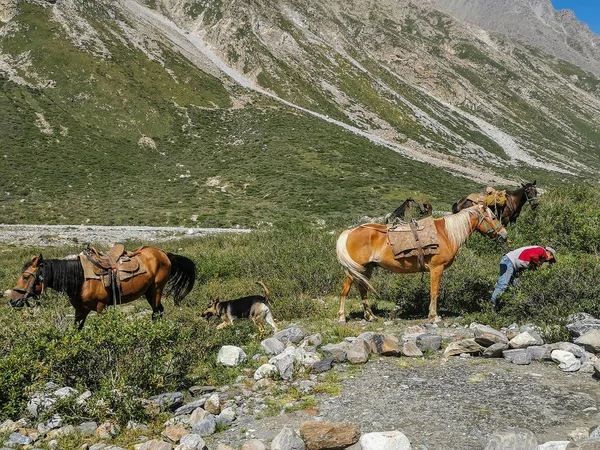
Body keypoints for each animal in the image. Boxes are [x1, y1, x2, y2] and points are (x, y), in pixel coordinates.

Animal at [9, 248, 196, 328]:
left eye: (25, 277)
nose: (13, 300)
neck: (81, 279)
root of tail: (163, 254)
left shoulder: (100, 307)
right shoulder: (80, 311)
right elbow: (77, 330)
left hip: (156, 290)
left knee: (157, 312)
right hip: (149, 292)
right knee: (159, 311)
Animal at [336, 206, 508, 322]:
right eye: (493, 217)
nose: (504, 235)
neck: (445, 234)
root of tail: (350, 231)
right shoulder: (436, 268)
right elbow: (434, 292)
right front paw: (434, 316)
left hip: (366, 268)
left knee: (362, 289)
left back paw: (370, 316)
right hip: (354, 269)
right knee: (345, 289)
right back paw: (342, 317)